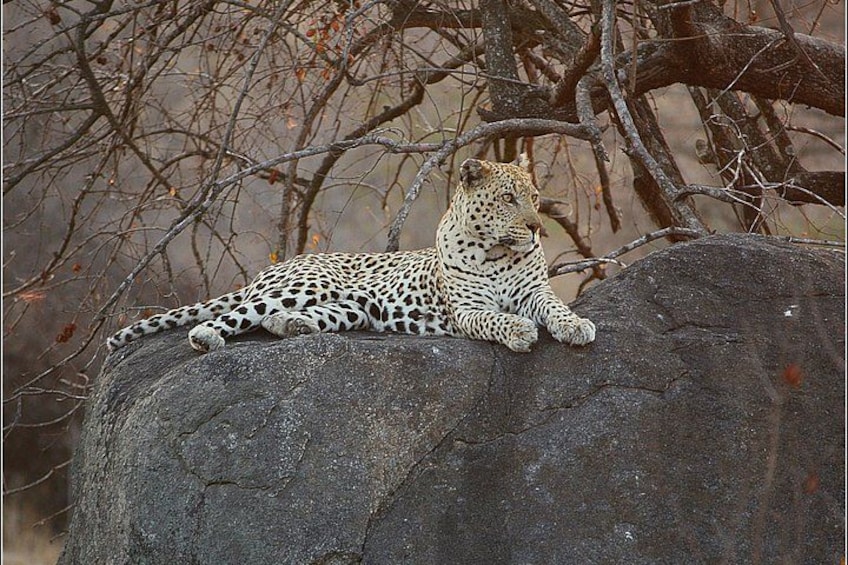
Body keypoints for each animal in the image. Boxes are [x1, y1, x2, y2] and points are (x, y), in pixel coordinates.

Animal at [107, 155, 596, 354]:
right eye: (509, 199)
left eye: (535, 197)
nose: (536, 228)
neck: (497, 253)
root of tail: (277, 266)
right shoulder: (466, 308)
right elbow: (494, 318)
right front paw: (518, 330)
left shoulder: (534, 291)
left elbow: (555, 307)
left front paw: (576, 326)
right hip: (306, 284)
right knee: (233, 316)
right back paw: (207, 337)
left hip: (353, 308)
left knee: (274, 320)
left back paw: (294, 327)